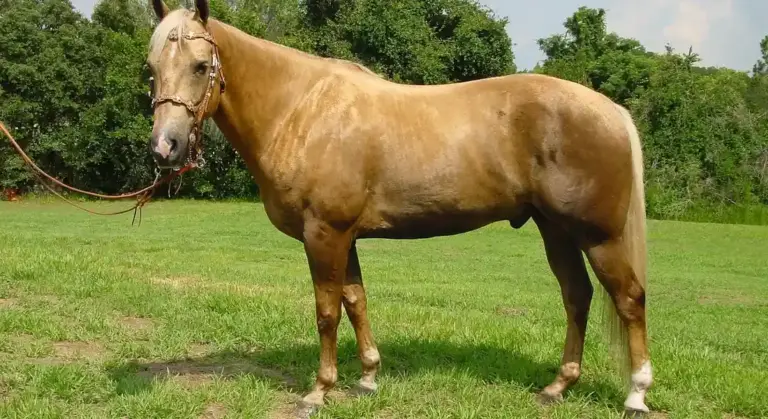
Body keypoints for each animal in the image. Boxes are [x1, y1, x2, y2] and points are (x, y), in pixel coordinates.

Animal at [144, 0, 653, 417]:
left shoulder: (324, 233)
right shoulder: (344, 236)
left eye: (200, 65)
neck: (302, 110)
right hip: (555, 230)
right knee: (577, 297)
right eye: (152, 69)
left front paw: (319, 391)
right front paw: (368, 378)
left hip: (599, 237)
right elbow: (356, 301)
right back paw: (557, 387)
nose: (165, 147)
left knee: (628, 299)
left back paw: (636, 394)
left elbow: (327, 312)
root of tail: (610, 109)